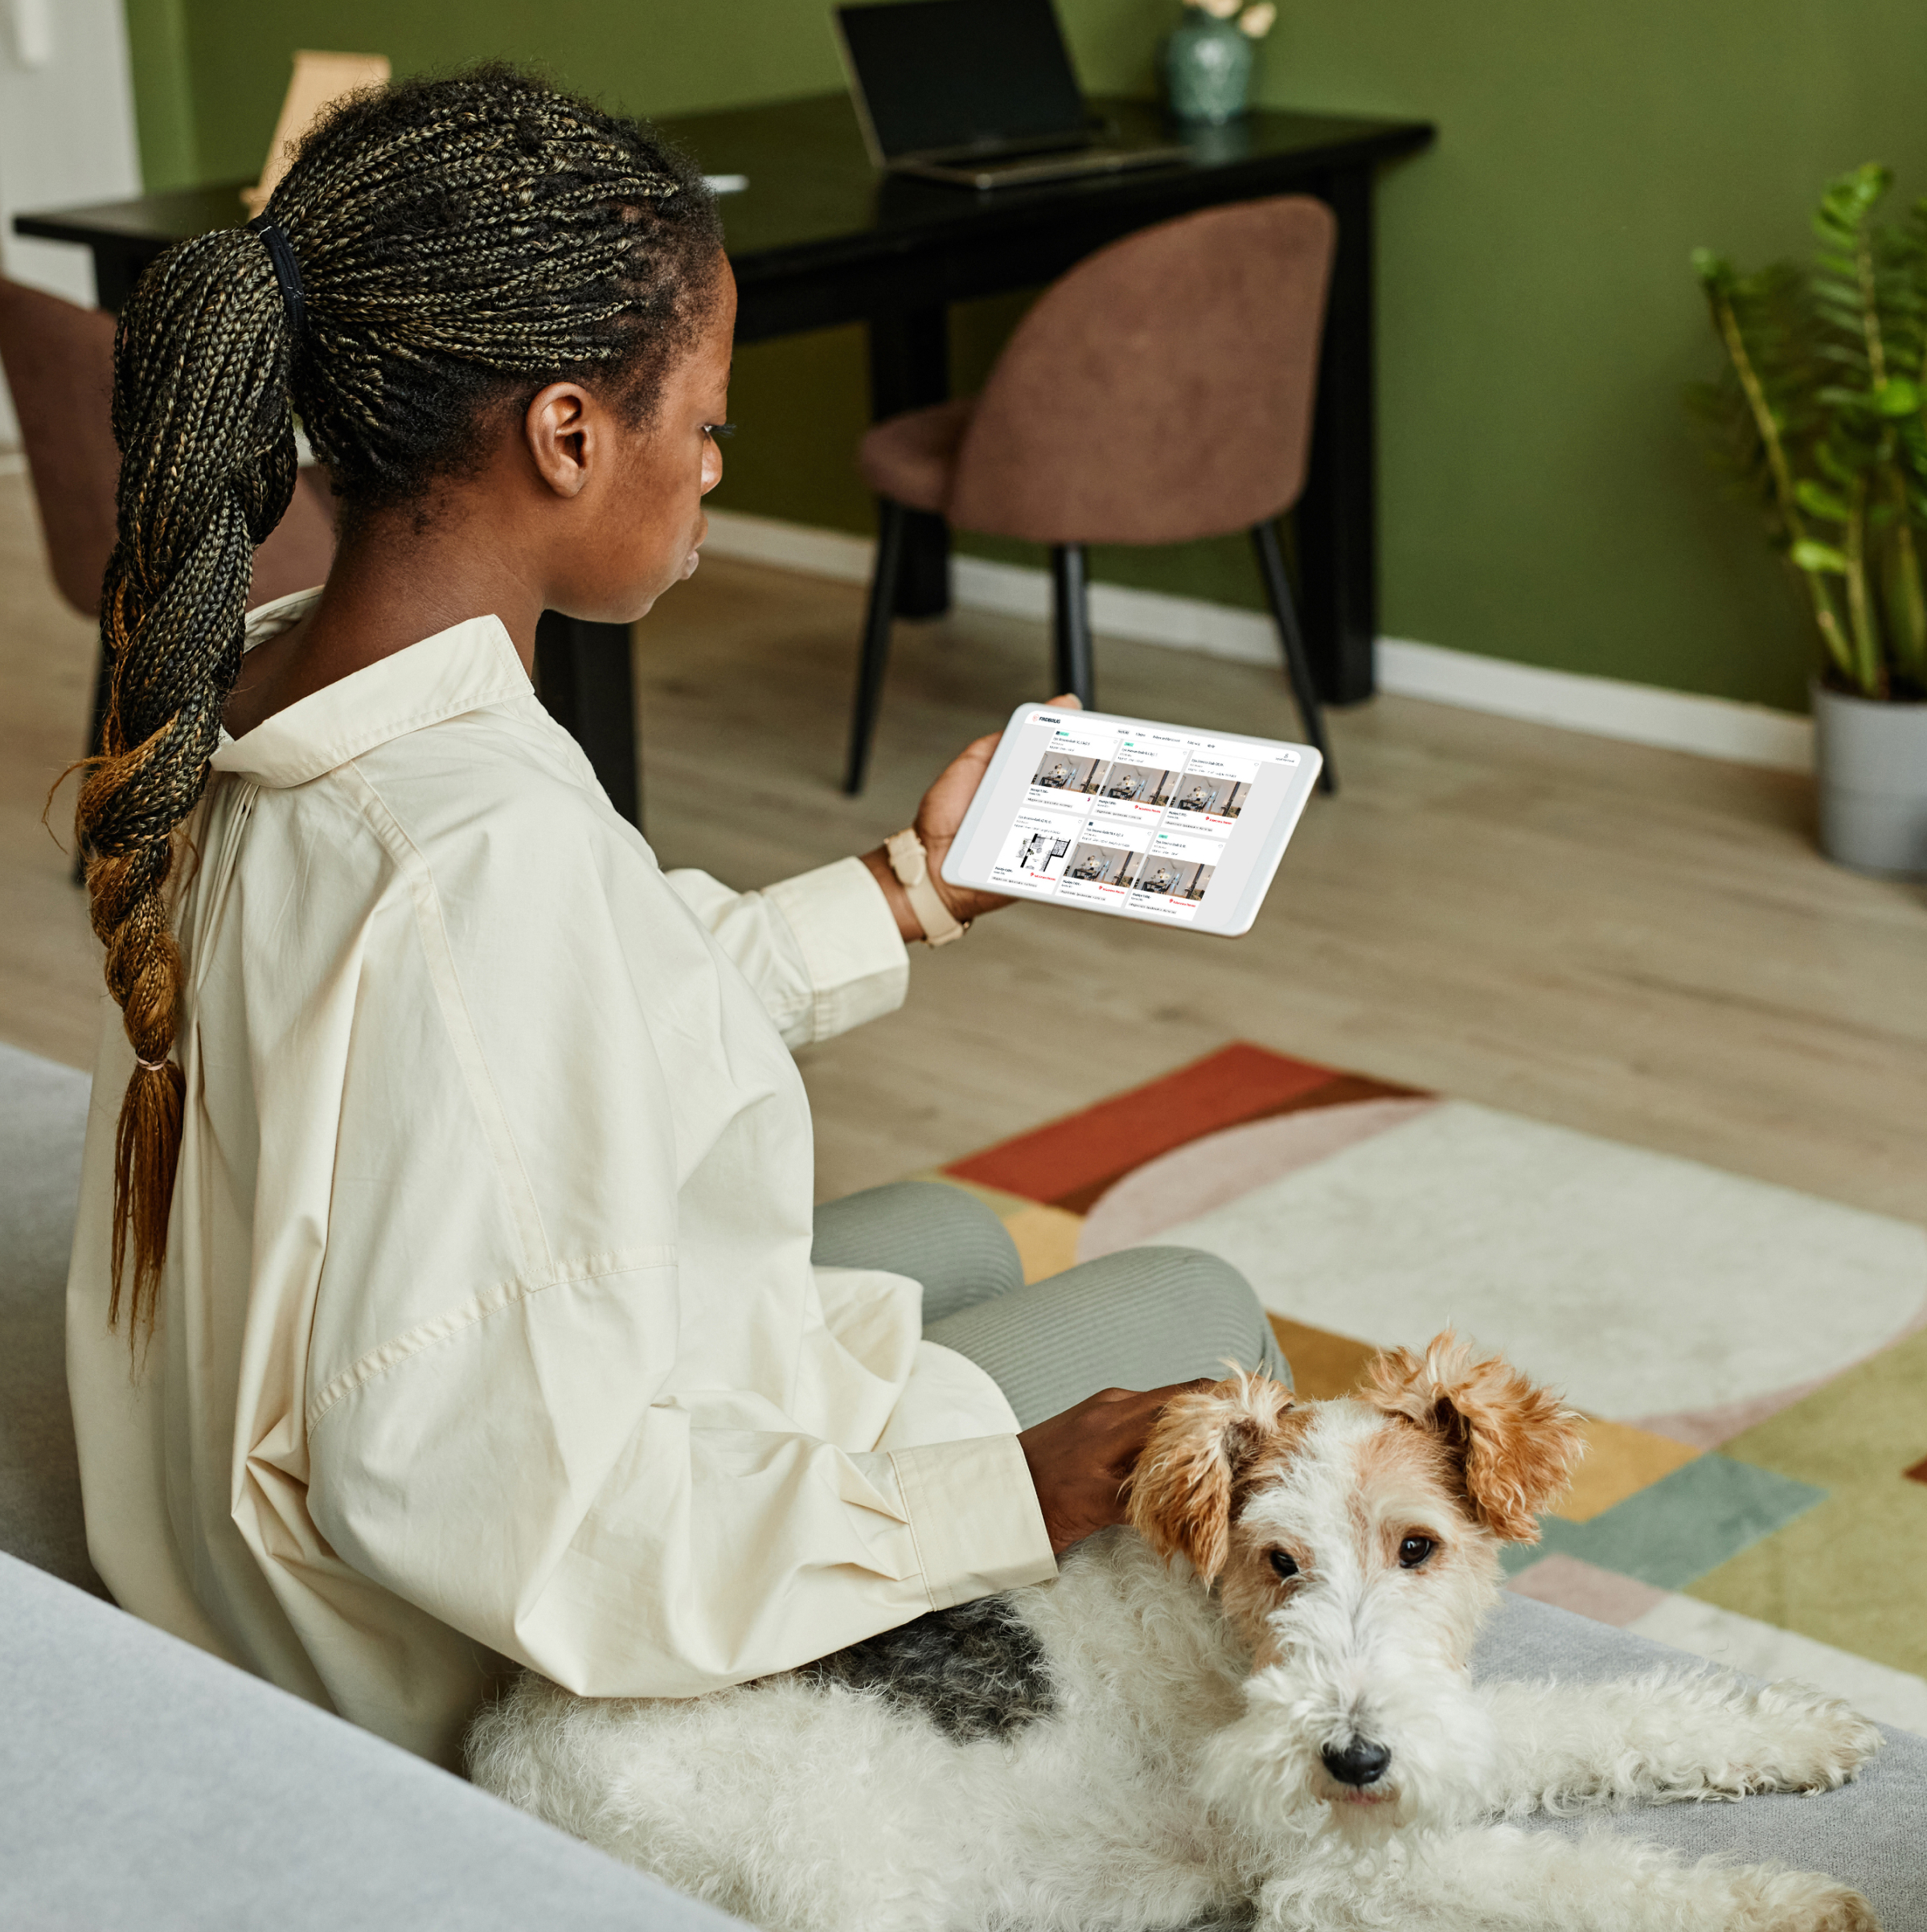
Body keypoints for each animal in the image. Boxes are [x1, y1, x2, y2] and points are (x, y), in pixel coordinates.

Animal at [467, 1336, 1884, 1932]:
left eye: (1418, 1544)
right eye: (1278, 1559)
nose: (1353, 1760)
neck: (1223, 1645)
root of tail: (497, 1754)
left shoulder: (1444, 1735)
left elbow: (1608, 1717)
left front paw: (1809, 1730)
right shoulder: (1332, 1874)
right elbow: (1587, 1880)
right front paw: (1800, 1899)